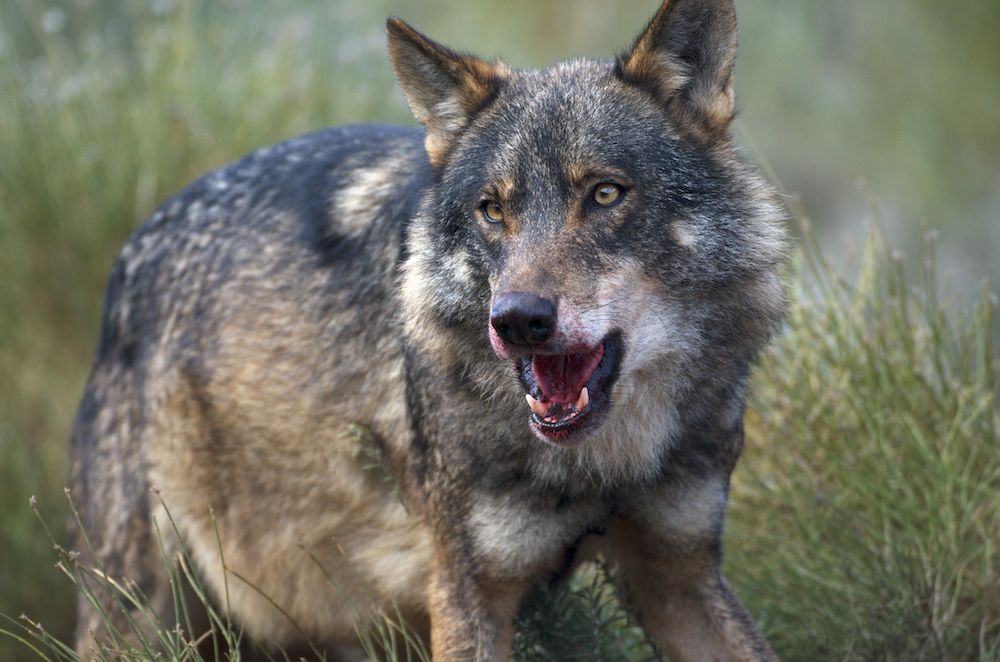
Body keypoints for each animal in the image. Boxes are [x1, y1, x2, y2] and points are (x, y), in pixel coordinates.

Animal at [69, 0, 786, 659]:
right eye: (492, 210)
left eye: (605, 194)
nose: (517, 321)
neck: (604, 466)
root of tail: (132, 252)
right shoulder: (466, 590)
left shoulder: (681, 575)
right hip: (142, 607)